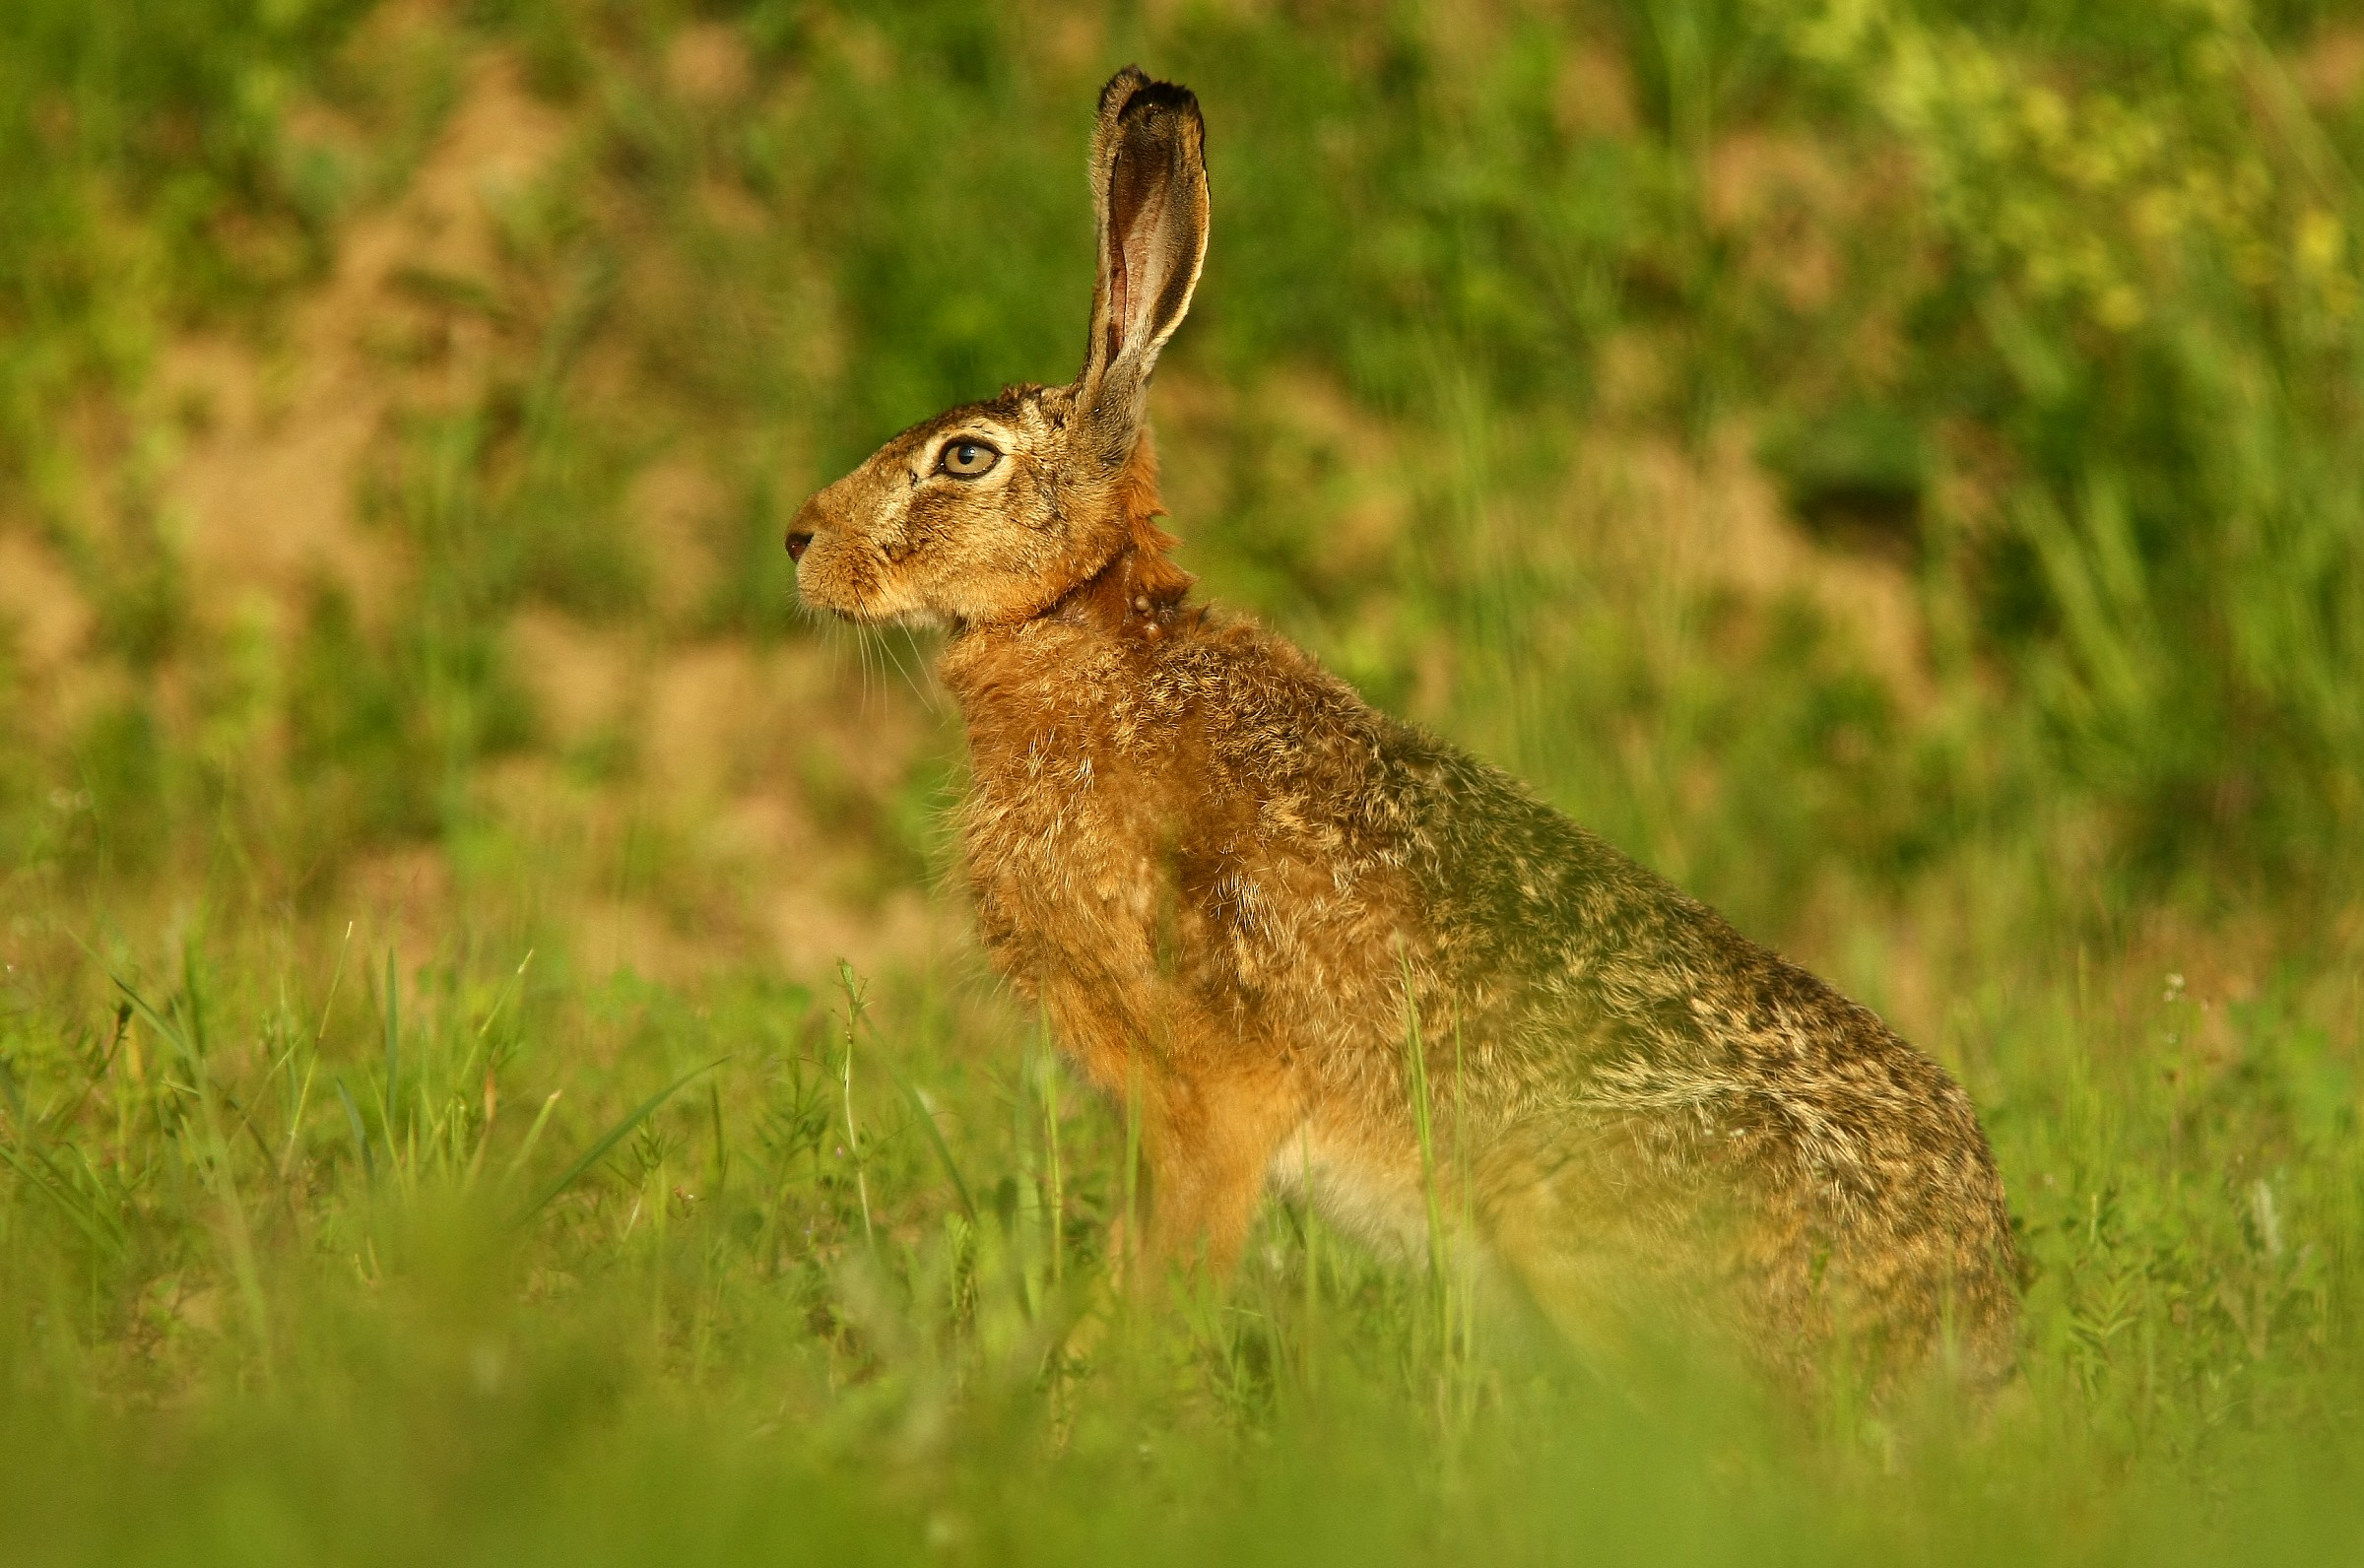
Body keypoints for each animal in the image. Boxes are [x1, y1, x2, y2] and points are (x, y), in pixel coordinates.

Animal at [787, 66, 2019, 1388]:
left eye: (965, 458)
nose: (800, 539)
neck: (1091, 634)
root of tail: (1965, 1325)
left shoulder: (1207, 1094)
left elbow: (1172, 1262)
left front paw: (1104, 1384)